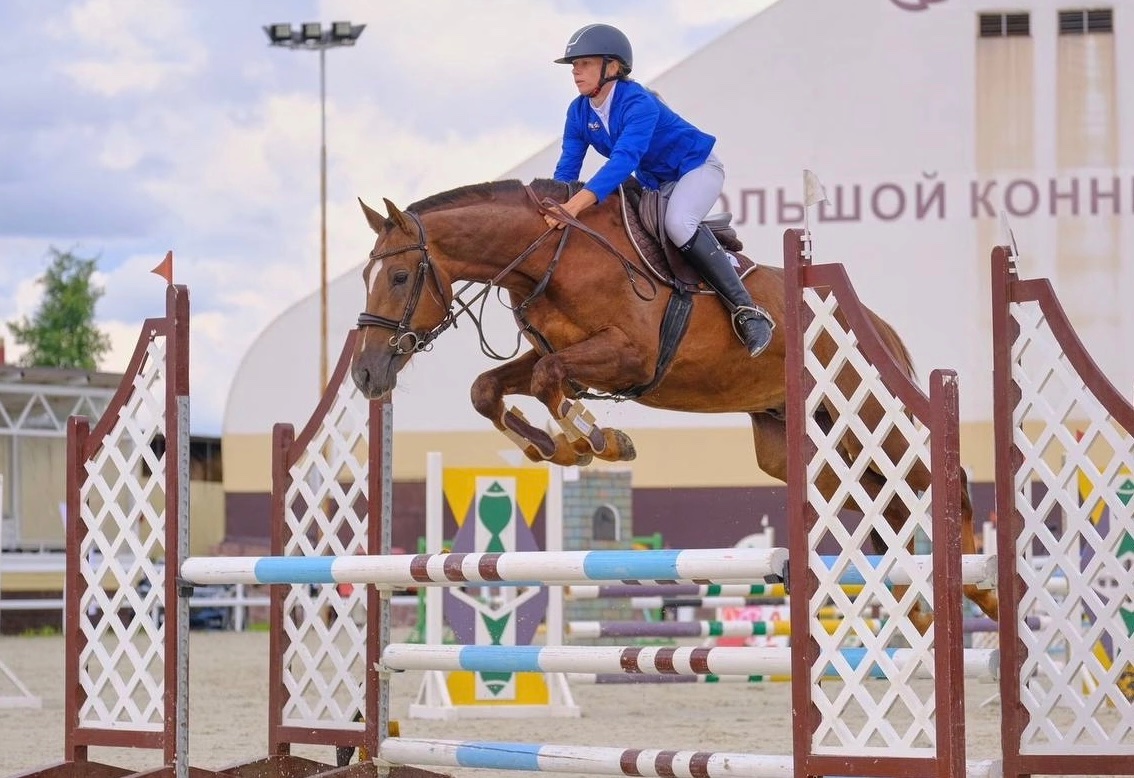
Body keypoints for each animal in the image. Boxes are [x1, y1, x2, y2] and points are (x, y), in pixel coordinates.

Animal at [349, 178, 998, 629]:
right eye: (365, 277)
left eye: (401, 277)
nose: (365, 373)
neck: (551, 258)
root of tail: (880, 327)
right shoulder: (553, 355)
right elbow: (491, 388)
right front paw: (555, 448)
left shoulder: (628, 356)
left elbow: (551, 383)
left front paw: (598, 441)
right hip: (803, 441)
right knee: (875, 501)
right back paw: (915, 601)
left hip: (873, 419)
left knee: (945, 480)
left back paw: (980, 584)